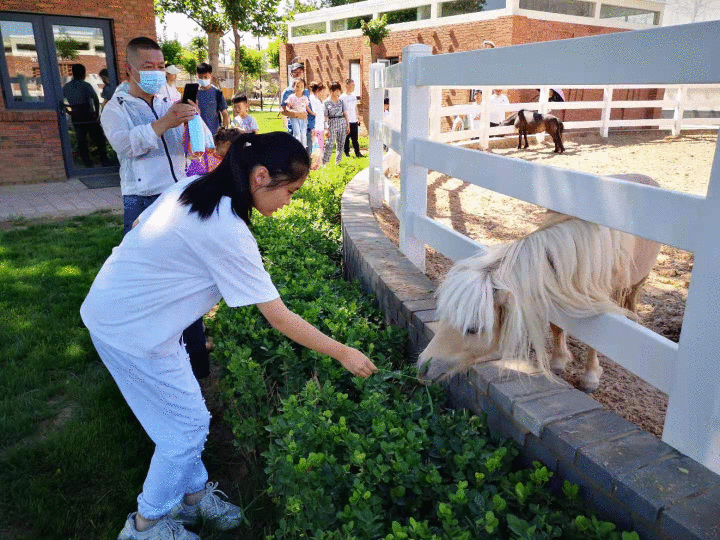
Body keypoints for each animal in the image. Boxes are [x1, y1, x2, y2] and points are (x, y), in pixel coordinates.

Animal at [420, 175, 660, 390]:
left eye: (473, 329)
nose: (423, 366)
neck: (582, 253)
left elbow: (595, 341)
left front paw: (591, 376)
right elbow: (556, 325)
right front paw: (558, 361)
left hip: (638, 280)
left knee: (632, 298)